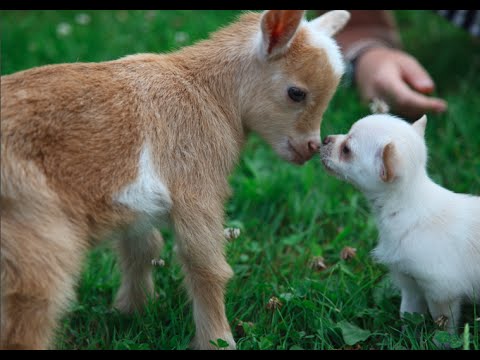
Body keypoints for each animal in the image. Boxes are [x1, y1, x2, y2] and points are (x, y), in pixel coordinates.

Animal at [318, 113, 480, 334]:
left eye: (347, 150)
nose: (325, 139)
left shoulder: (441, 292)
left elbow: (444, 327)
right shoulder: (410, 285)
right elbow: (408, 313)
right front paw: (406, 335)